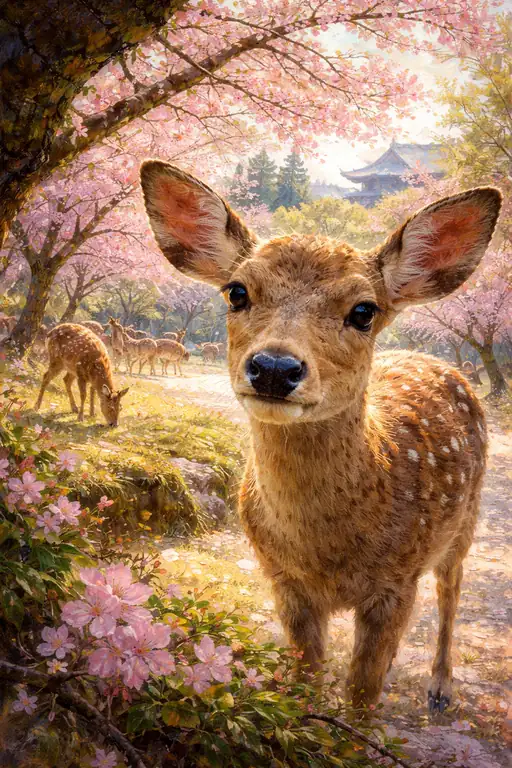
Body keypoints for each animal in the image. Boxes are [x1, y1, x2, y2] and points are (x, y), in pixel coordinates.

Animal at [141, 161, 502, 715]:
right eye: (237, 291)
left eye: (364, 310)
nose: (274, 367)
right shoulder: (284, 580)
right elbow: (307, 678)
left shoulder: (397, 583)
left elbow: (362, 694)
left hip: (467, 514)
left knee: (451, 588)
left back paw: (441, 687)